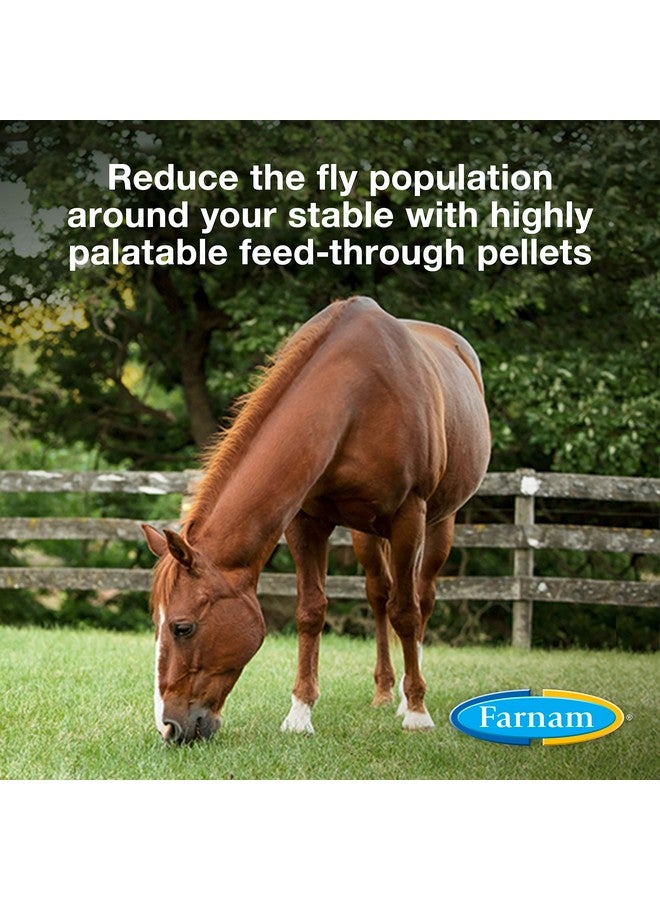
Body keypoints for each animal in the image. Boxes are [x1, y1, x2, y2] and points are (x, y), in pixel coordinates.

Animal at [142, 296, 491, 744]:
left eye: (182, 627)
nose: (168, 727)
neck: (355, 398)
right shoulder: (305, 521)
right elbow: (311, 612)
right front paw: (300, 713)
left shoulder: (408, 515)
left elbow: (407, 612)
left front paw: (416, 712)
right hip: (366, 534)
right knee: (379, 595)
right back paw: (384, 690)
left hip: (437, 523)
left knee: (420, 598)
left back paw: (406, 696)